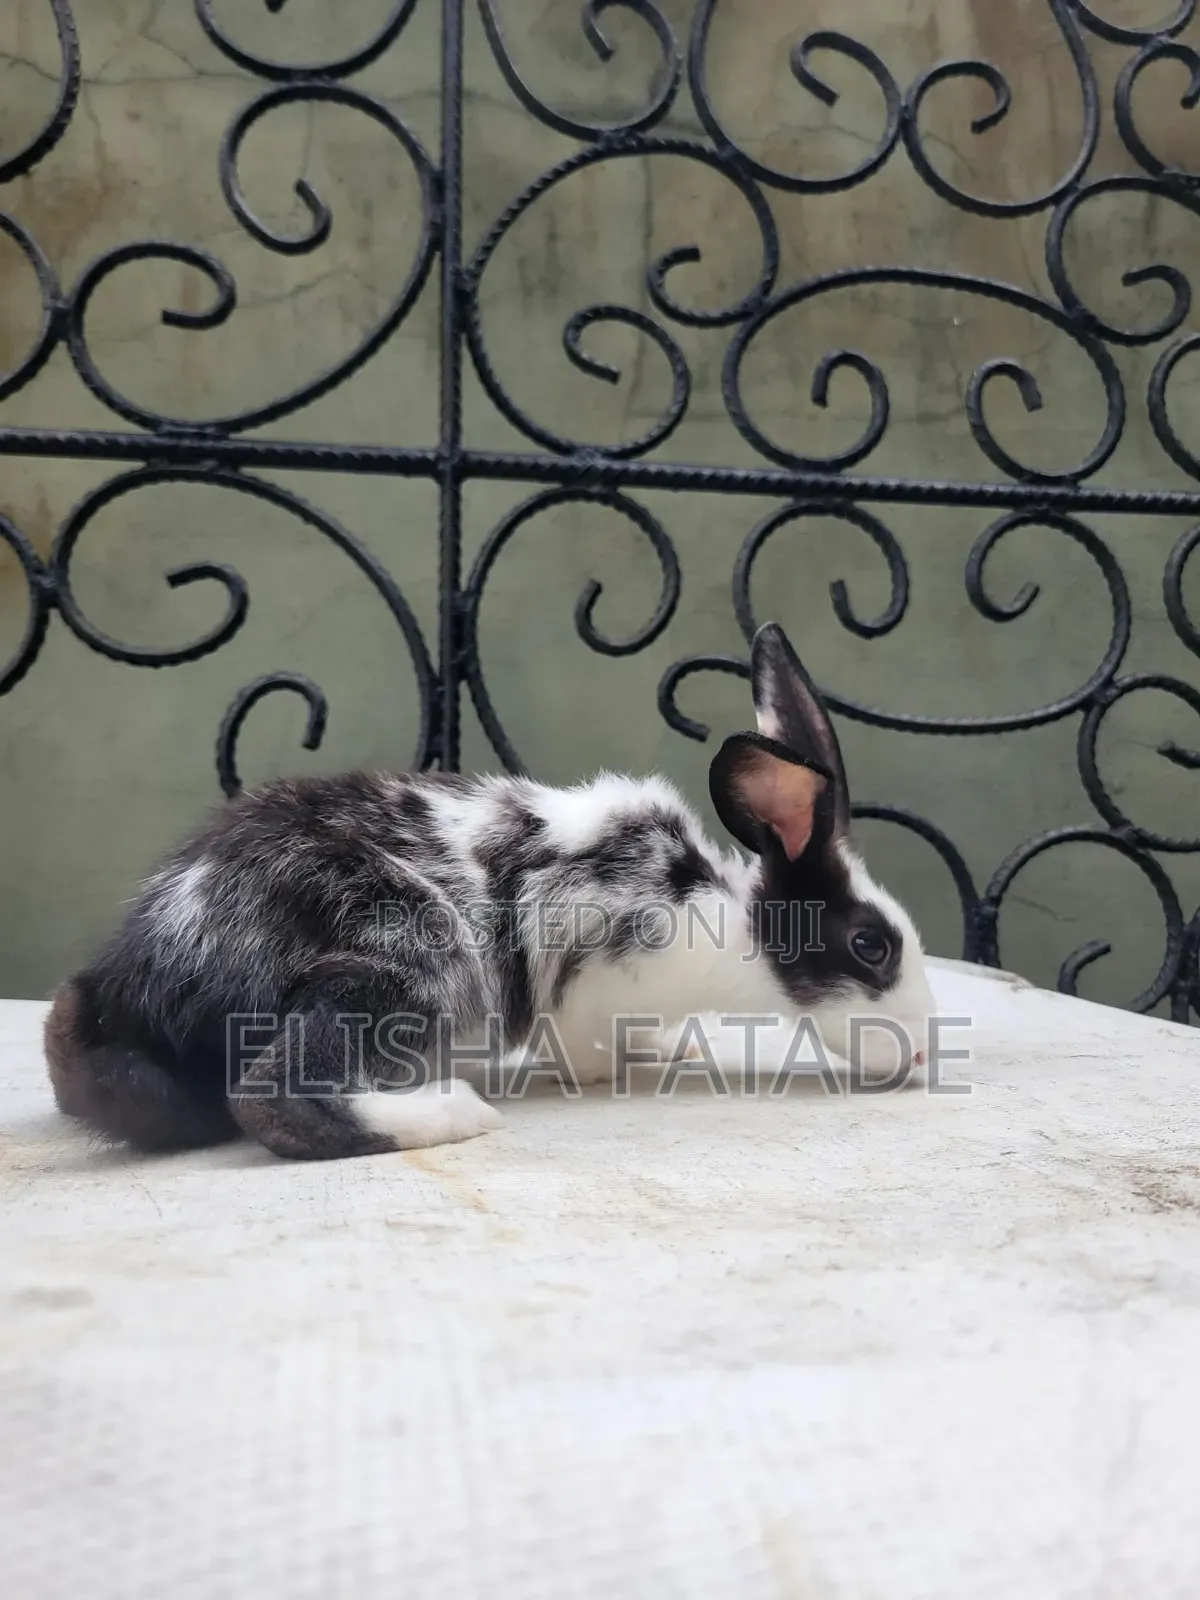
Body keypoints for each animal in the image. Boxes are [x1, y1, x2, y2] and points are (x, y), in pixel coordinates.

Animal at [44, 621, 937, 1162]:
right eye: (872, 945)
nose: (927, 1051)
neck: (721, 921)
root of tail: (138, 982)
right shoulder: (588, 982)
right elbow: (580, 1047)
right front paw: (610, 1073)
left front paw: (668, 1049)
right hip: (406, 956)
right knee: (272, 1097)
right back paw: (455, 1113)